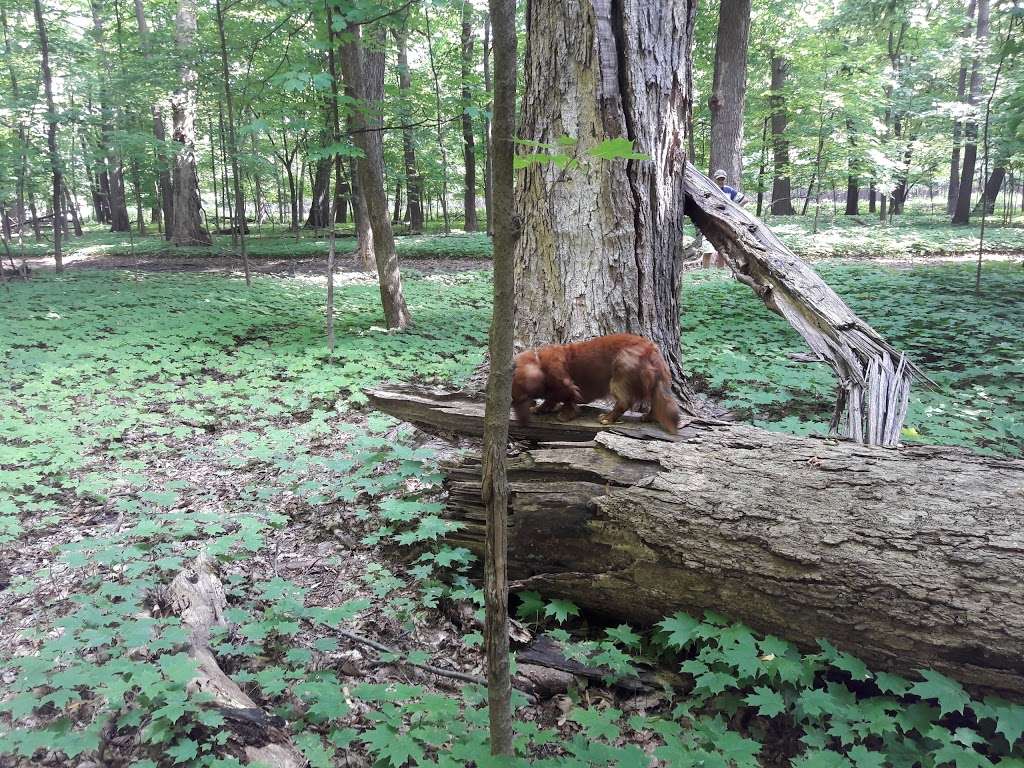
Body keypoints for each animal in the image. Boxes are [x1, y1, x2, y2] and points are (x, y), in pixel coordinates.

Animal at [512, 333, 679, 436]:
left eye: (520, 398)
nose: (522, 423)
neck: (539, 362)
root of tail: (651, 348)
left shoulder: (565, 385)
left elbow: (566, 399)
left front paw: (565, 415)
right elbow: (550, 399)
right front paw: (540, 408)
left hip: (620, 375)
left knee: (624, 402)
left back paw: (608, 418)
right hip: (654, 384)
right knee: (655, 402)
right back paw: (648, 417)